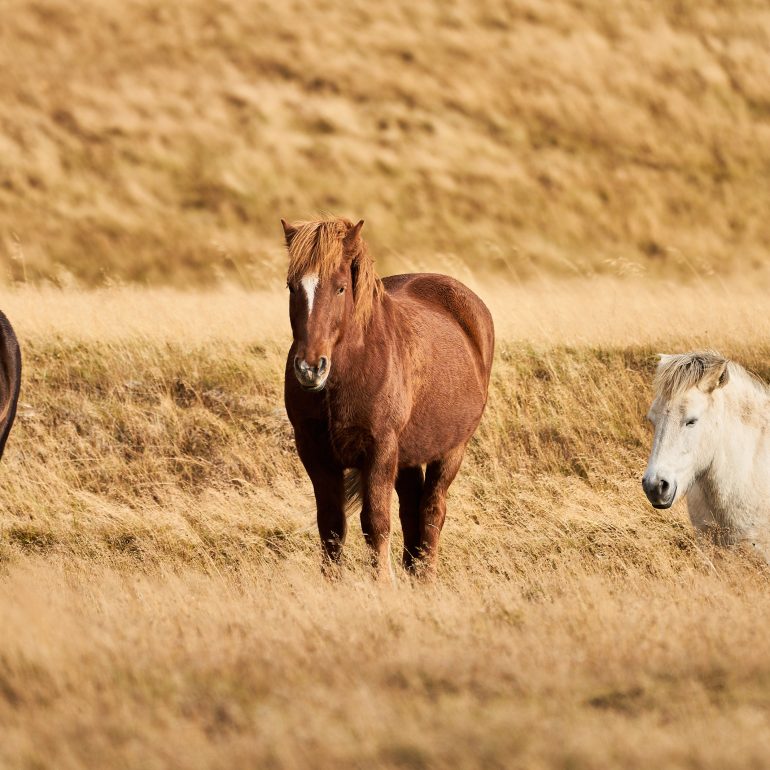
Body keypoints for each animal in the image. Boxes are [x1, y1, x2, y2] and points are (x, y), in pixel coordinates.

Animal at [281, 217, 494, 580]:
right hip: (408, 455)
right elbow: (331, 526)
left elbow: (375, 523)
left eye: (340, 288)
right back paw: (412, 571)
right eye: (292, 287)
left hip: (452, 449)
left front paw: (382, 582)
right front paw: (331, 583)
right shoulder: (314, 451)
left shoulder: (379, 449)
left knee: (432, 510)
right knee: (411, 509)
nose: (310, 368)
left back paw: (425, 577)